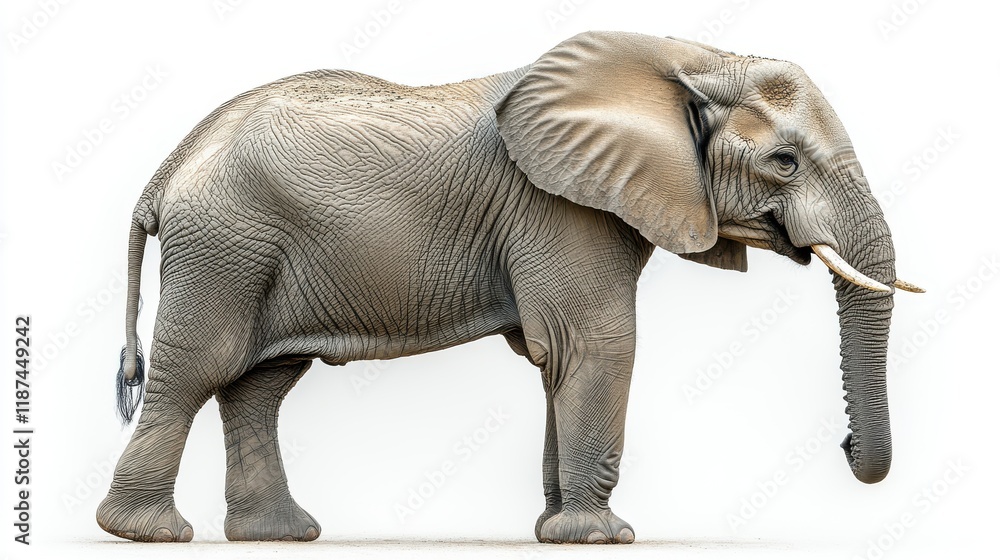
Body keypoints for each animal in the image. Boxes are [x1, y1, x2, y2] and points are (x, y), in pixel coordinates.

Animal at [97, 30, 921, 544]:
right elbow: (595, 348)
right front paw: (602, 538)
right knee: (198, 369)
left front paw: (555, 532)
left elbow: (562, 361)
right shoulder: (559, 208)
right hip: (224, 247)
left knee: (259, 384)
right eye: (784, 162)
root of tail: (168, 168)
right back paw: (147, 534)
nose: (845, 444)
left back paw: (280, 535)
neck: (689, 56)